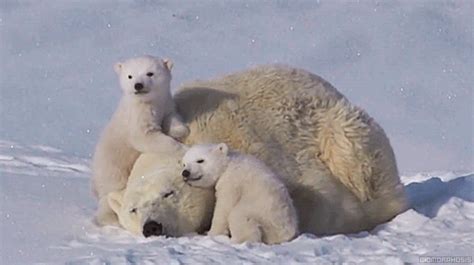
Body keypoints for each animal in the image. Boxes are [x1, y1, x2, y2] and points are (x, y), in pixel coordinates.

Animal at [91, 55, 188, 225]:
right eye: (130, 76)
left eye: (150, 73)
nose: (138, 85)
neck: (149, 102)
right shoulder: (137, 116)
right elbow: (144, 137)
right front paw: (182, 149)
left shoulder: (166, 103)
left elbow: (172, 116)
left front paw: (180, 130)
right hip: (113, 170)